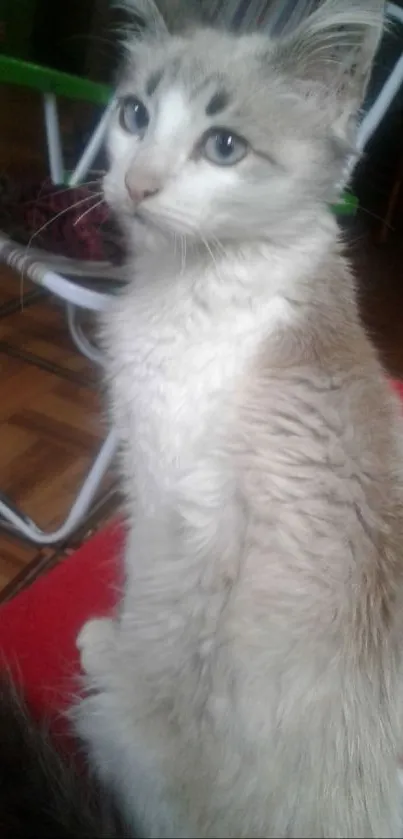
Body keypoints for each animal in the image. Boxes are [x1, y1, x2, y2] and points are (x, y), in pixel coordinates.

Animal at [73, 3, 403, 836]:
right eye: (134, 115)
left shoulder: (165, 499)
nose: (136, 184)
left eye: (223, 147)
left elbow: (144, 602)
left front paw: (108, 643)